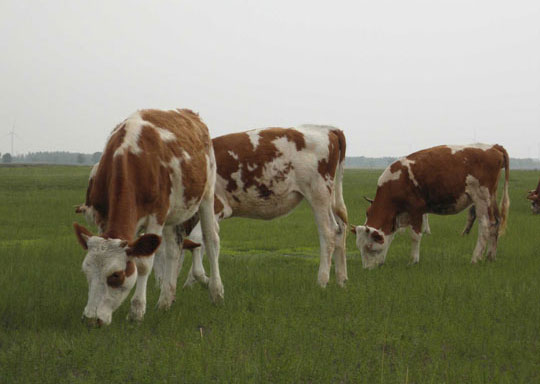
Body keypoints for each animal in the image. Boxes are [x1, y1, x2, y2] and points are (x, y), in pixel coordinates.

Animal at [73, 107, 223, 324]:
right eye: (86, 272)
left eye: (116, 275)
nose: (91, 319)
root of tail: (190, 114)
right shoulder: (102, 217)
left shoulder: (156, 216)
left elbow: (143, 264)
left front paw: (137, 311)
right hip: (173, 214)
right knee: (173, 250)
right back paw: (165, 301)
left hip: (207, 195)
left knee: (211, 241)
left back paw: (216, 292)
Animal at [175, 126, 348, 288]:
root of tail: (329, 128)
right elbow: (205, 242)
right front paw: (192, 283)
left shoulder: (217, 206)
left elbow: (198, 238)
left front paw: (204, 280)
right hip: (331, 198)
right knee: (340, 230)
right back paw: (341, 281)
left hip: (318, 194)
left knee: (328, 233)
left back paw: (322, 281)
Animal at [350, 142, 510, 268]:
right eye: (359, 247)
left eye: (370, 247)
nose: (368, 269)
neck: (395, 182)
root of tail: (493, 147)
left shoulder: (415, 209)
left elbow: (415, 236)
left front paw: (413, 261)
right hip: (491, 197)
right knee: (496, 223)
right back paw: (490, 257)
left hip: (481, 197)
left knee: (485, 226)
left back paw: (475, 258)